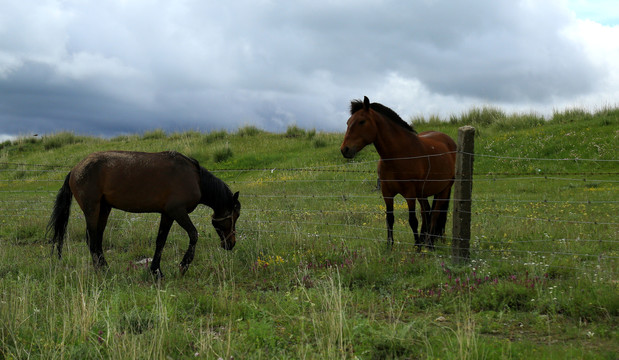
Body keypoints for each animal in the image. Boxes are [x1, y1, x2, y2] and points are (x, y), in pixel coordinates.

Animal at [47, 150, 241, 278]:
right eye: (235, 216)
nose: (231, 244)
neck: (195, 179)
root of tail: (75, 169)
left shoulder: (167, 214)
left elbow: (160, 241)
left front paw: (156, 271)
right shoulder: (178, 211)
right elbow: (193, 235)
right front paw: (183, 265)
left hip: (104, 209)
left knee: (98, 239)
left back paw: (105, 267)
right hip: (92, 209)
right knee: (92, 239)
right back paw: (100, 271)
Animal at [342, 98, 458, 250]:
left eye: (361, 121)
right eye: (348, 122)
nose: (345, 149)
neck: (398, 155)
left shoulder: (410, 193)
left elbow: (412, 220)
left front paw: (417, 247)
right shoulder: (387, 192)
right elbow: (389, 218)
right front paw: (389, 246)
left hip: (444, 190)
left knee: (434, 214)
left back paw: (429, 244)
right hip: (423, 193)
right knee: (426, 212)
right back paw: (425, 240)